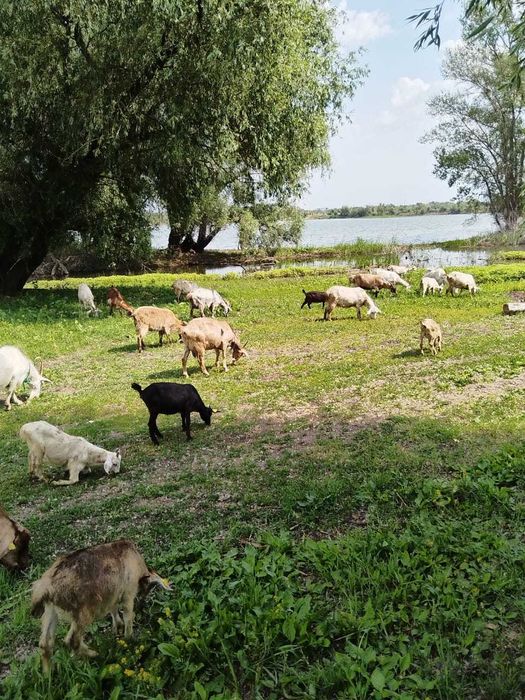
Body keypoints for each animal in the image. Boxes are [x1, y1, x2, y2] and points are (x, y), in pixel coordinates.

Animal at [31, 539, 171, 672]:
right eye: (149, 587)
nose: (142, 601)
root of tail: (46, 588)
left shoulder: (113, 594)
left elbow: (113, 609)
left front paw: (117, 627)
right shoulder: (128, 593)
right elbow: (128, 617)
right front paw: (129, 639)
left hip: (50, 610)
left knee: (45, 643)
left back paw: (48, 674)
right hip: (83, 612)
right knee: (72, 640)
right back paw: (94, 654)